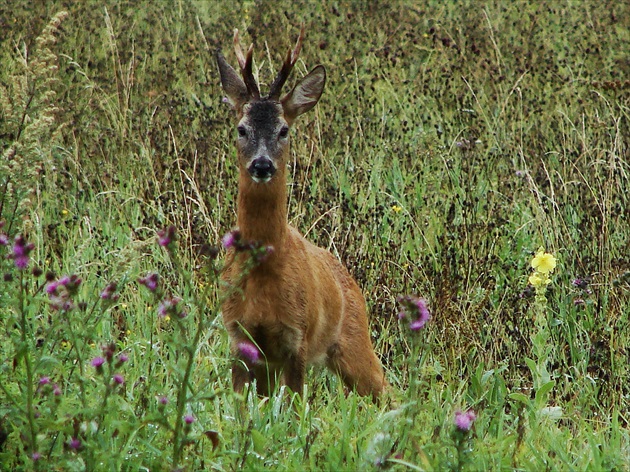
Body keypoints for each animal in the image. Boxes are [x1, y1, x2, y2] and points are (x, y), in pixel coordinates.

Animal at [217, 27, 386, 400]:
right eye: (241, 128)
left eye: (284, 130)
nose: (262, 165)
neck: (264, 275)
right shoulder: (239, 338)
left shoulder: (298, 339)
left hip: (355, 344)